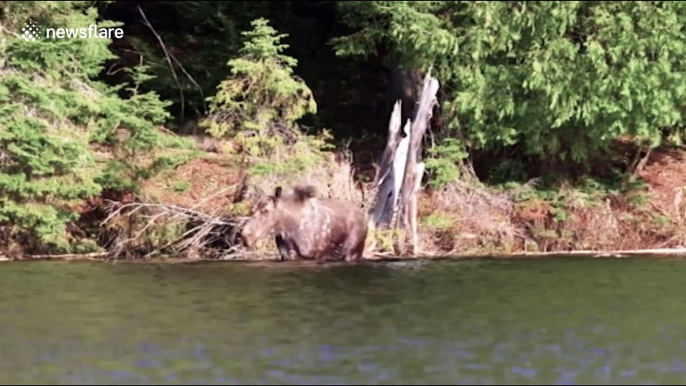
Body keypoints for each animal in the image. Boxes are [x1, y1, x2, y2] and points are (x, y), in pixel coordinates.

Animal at [242, 185, 370, 262]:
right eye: (252, 209)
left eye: (266, 211)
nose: (245, 236)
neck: (287, 230)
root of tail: (364, 216)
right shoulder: (287, 256)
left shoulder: (317, 254)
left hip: (353, 251)